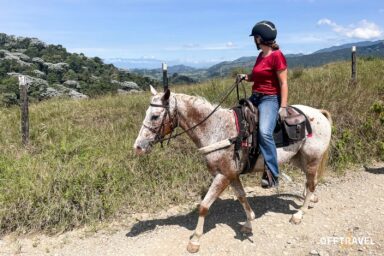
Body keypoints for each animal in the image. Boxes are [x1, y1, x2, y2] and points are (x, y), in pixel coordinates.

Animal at [134, 85, 332, 253]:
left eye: (155, 116)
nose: (138, 147)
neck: (216, 129)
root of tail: (318, 113)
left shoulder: (222, 176)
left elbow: (204, 206)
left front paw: (195, 241)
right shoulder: (232, 175)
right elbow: (242, 197)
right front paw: (249, 223)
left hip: (311, 159)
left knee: (311, 183)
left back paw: (299, 214)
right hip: (299, 159)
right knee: (310, 181)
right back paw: (310, 200)